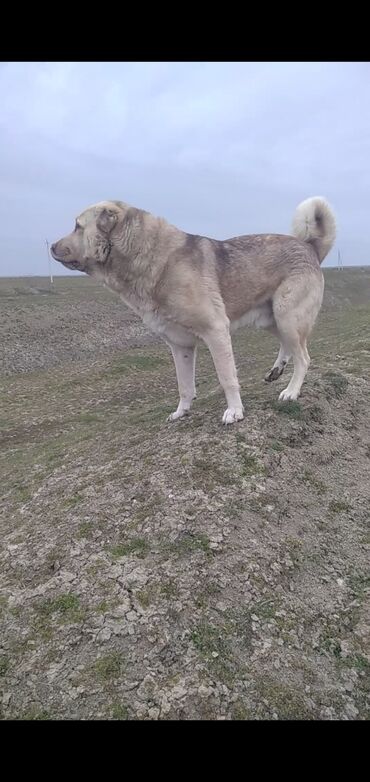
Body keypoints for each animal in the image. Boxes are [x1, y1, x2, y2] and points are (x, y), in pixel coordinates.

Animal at [50, 198, 336, 428]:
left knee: (303, 356)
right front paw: (181, 412)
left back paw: (291, 391)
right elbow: (184, 385)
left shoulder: (216, 331)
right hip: (272, 318)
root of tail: (309, 246)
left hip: (287, 315)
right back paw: (276, 370)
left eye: (77, 226)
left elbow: (226, 377)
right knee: (289, 346)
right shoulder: (180, 346)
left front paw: (234, 411)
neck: (150, 258)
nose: (51, 246)